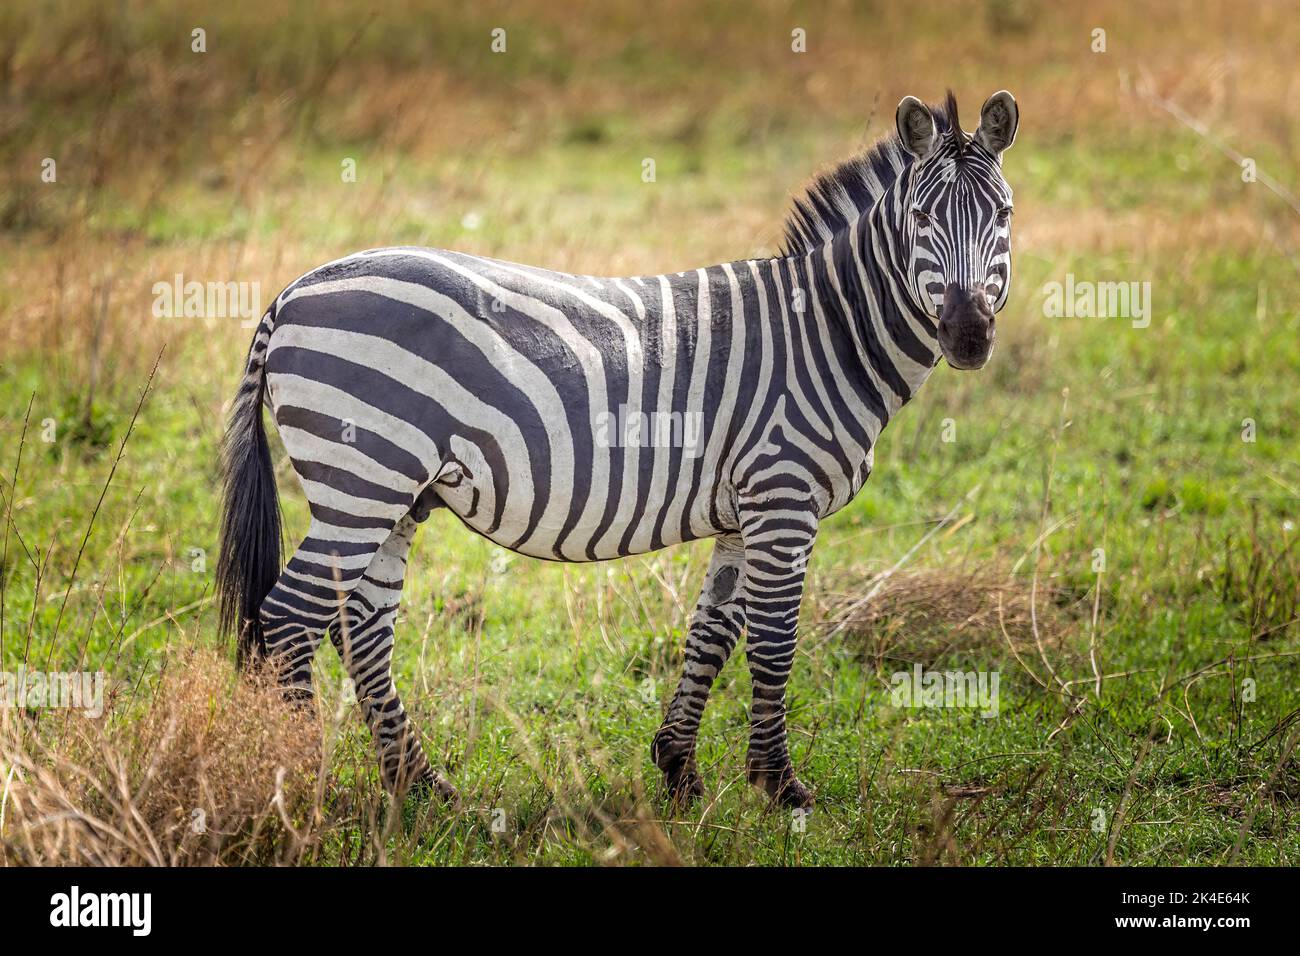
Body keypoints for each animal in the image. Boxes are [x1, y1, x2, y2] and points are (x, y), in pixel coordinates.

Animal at [216, 90, 1019, 809]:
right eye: (921, 219)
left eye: (1005, 216)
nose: (969, 336)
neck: (828, 330)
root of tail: (292, 290)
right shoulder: (783, 496)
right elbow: (773, 641)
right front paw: (779, 788)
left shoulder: (742, 512)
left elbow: (713, 635)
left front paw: (679, 771)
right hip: (363, 479)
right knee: (289, 620)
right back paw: (306, 787)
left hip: (397, 496)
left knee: (361, 628)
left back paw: (421, 786)